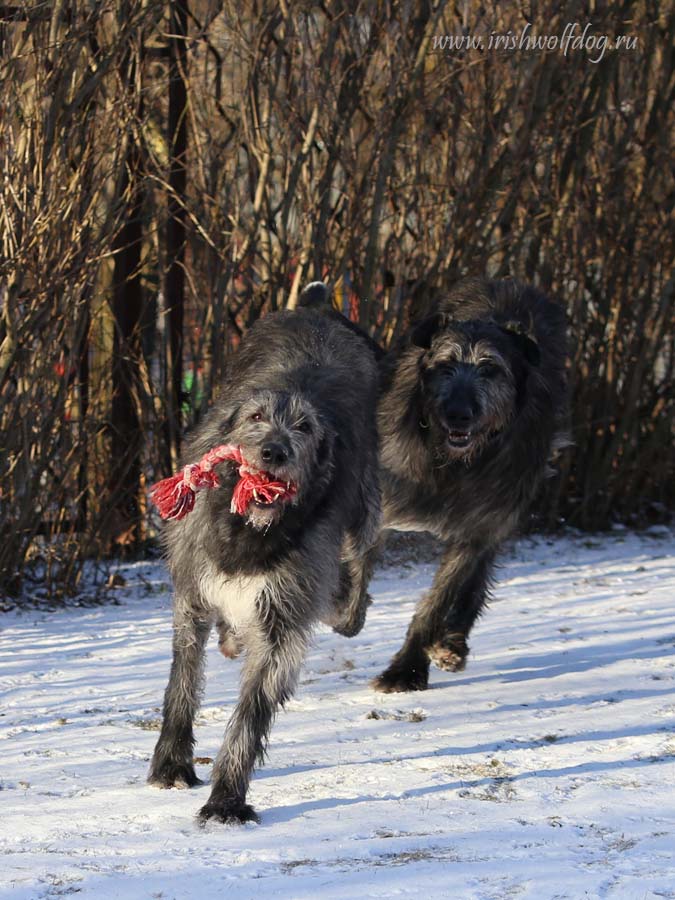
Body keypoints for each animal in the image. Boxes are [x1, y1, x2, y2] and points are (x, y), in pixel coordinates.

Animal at [149, 296, 380, 824]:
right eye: (255, 416)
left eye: (305, 427)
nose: (274, 452)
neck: (247, 531)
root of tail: (317, 307)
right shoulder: (193, 593)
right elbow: (182, 680)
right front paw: (171, 763)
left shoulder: (282, 618)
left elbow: (251, 711)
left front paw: (226, 798)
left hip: (363, 505)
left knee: (356, 573)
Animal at [312, 278, 572, 692]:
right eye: (445, 364)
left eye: (490, 368)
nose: (458, 415)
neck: (452, 463)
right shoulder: (382, 498)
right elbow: (353, 579)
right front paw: (343, 608)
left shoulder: (480, 523)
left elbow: (439, 600)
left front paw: (406, 670)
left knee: (477, 576)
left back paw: (452, 642)